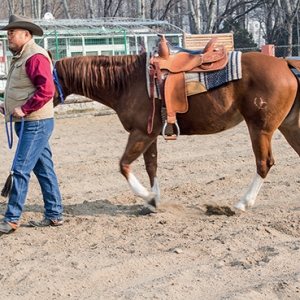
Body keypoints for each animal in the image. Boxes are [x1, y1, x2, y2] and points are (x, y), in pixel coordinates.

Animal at [52, 52, 300, 216]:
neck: (128, 81)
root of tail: (286, 63)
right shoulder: (149, 135)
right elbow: (151, 166)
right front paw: (153, 202)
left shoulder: (141, 134)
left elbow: (124, 165)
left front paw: (148, 197)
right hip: (289, 127)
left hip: (260, 128)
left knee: (263, 163)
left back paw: (242, 203)